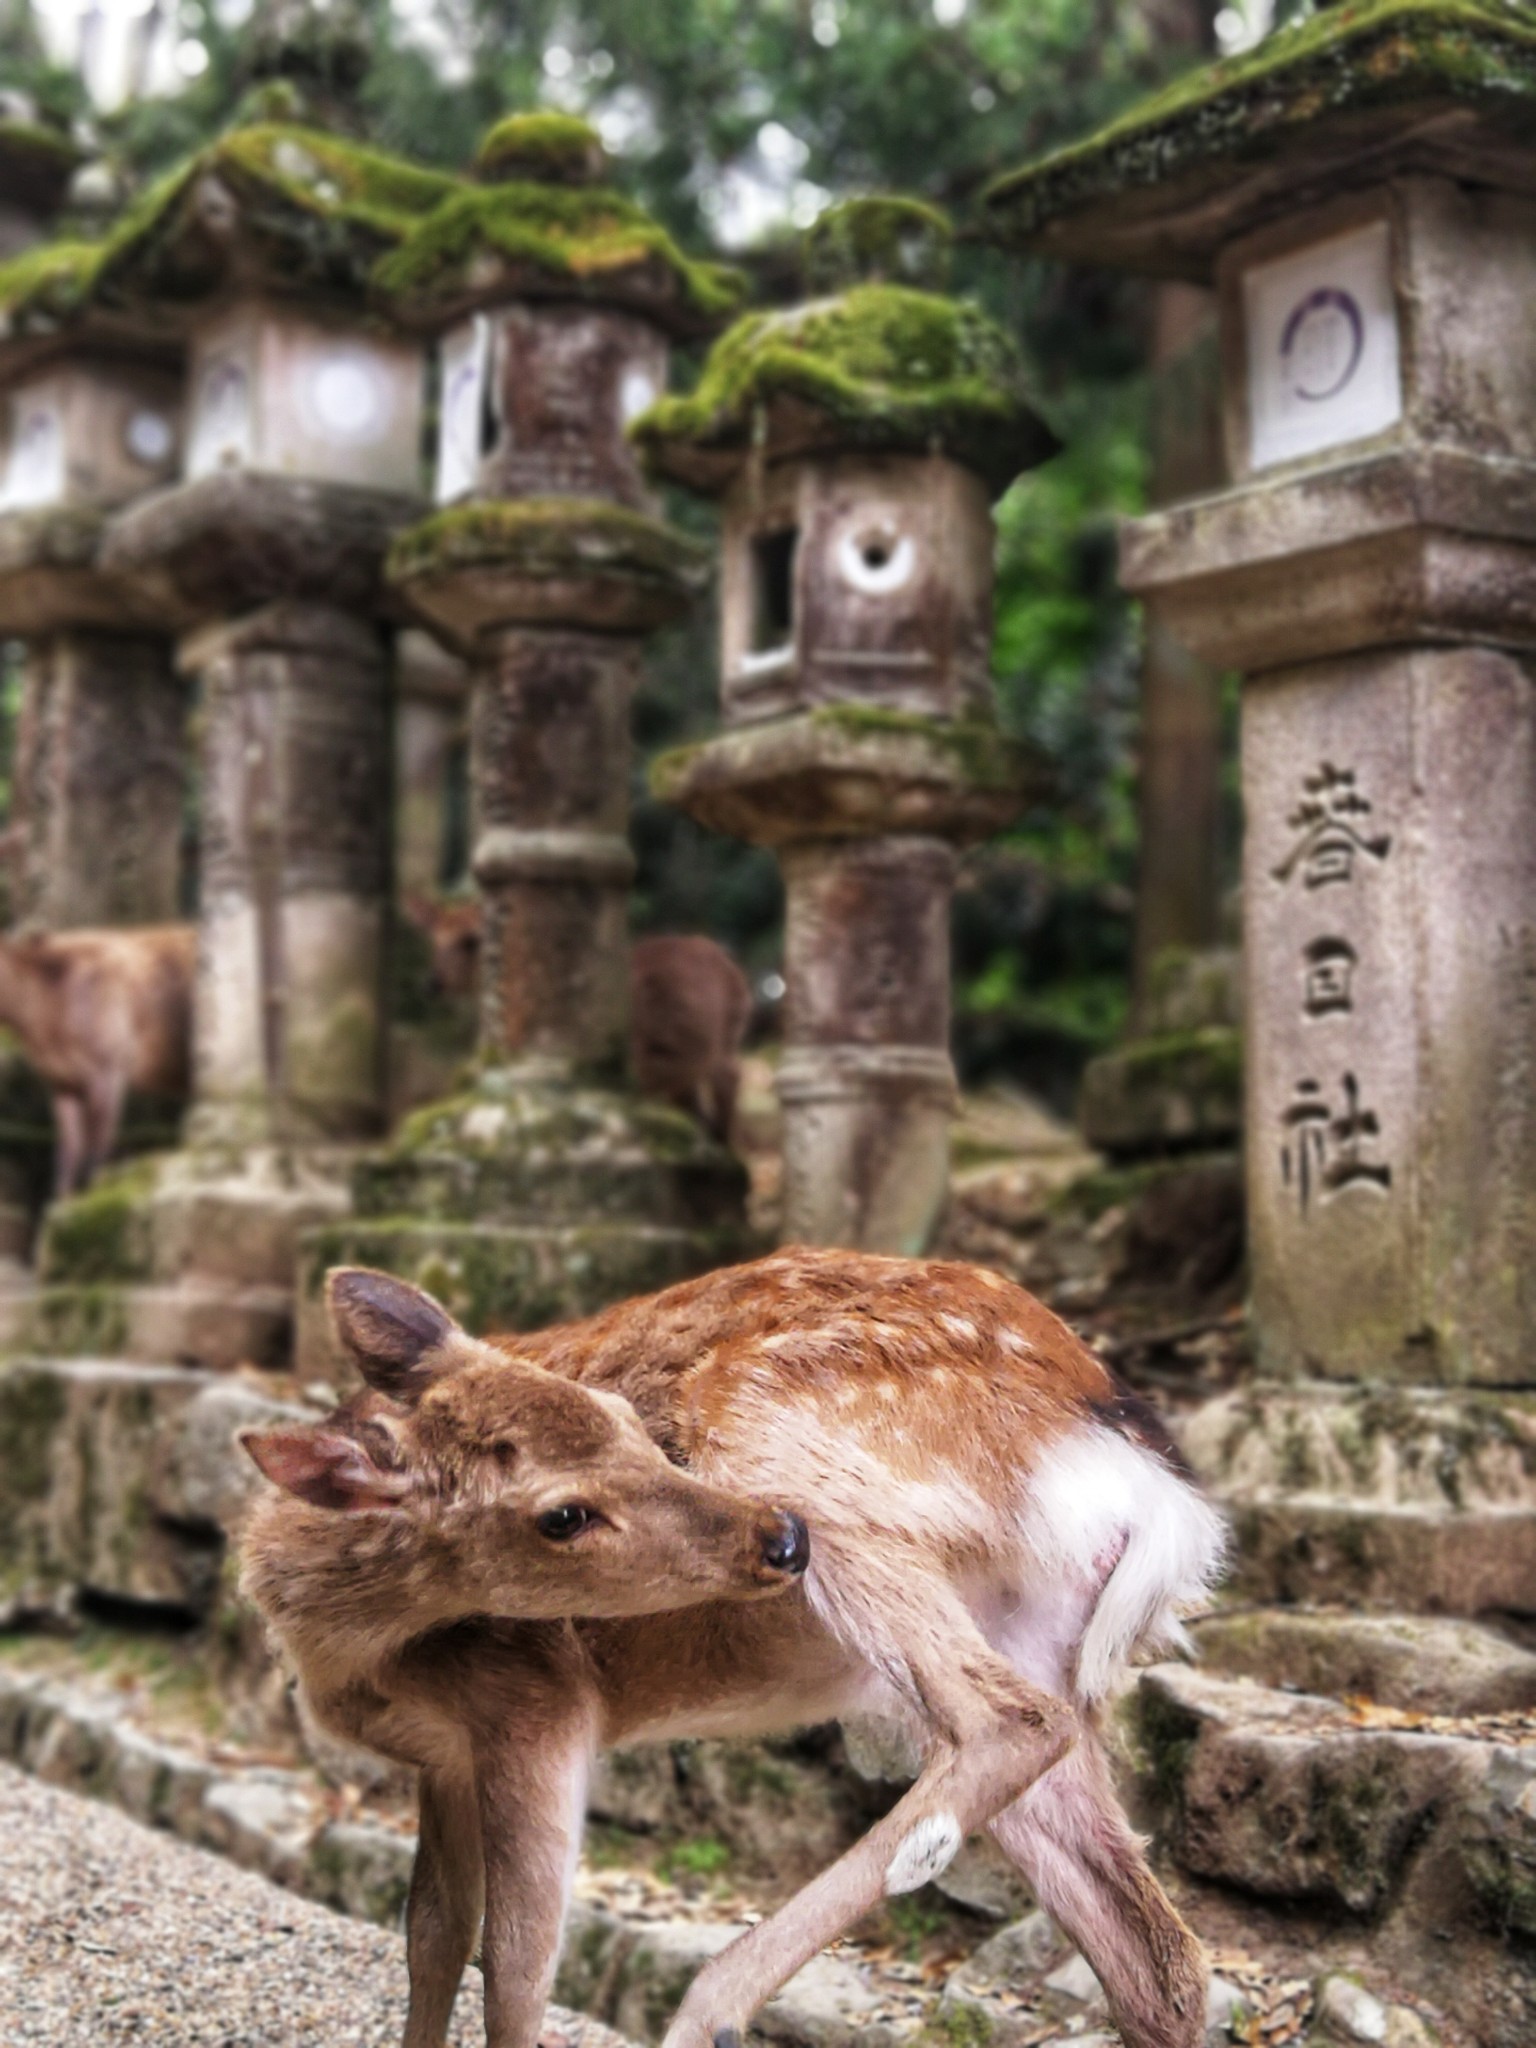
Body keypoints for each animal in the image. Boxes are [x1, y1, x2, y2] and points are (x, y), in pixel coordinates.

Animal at [240, 1236, 1228, 2048]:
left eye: (627, 1417)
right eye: (563, 1514)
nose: (781, 1538)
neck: (349, 1655)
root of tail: (1140, 1470)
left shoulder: (535, 1705)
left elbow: (516, 1966)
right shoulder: (441, 1759)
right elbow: (432, 1938)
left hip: (782, 1438)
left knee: (1007, 1723)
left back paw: (706, 2011)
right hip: (1033, 1636)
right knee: (1157, 1957)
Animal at [403, 901, 753, 1146]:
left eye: (471, 940)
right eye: (434, 940)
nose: (431, 983)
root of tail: (732, 966)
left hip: (728, 1037)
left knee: (731, 1082)